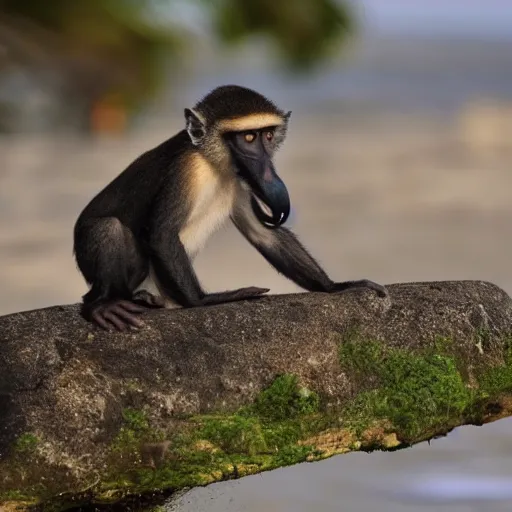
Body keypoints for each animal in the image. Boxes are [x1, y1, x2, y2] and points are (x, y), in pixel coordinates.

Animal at [73, 84, 388, 332]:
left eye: (267, 136)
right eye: (248, 138)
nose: (265, 168)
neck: (214, 164)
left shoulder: (241, 180)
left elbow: (264, 232)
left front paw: (335, 287)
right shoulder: (187, 169)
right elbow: (162, 233)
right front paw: (203, 301)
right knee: (107, 228)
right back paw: (104, 304)